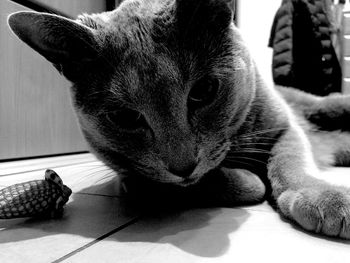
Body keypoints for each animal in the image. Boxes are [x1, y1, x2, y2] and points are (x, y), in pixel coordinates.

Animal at [7, 0, 350, 240]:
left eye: (204, 90)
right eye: (125, 117)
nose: (183, 165)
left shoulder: (285, 126)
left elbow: (289, 160)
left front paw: (325, 199)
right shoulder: (131, 176)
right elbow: (168, 184)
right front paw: (247, 180)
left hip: (318, 105)